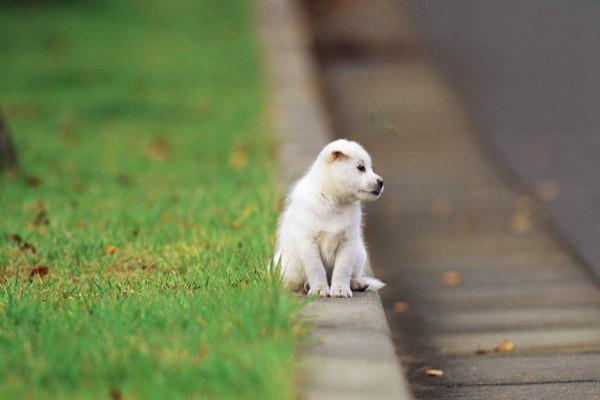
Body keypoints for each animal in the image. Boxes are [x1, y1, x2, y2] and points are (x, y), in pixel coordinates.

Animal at [276, 138, 384, 296]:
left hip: (359, 254)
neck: (334, 202)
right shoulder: (309, 243)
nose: (381, 182)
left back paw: (357, 283)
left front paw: (340, 289)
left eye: (370, 167)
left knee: (354, 274)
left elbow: (342, 269)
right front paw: (319, 288)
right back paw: (307, 285)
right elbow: (316, 269)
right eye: (361, 168)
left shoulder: (347, 243)